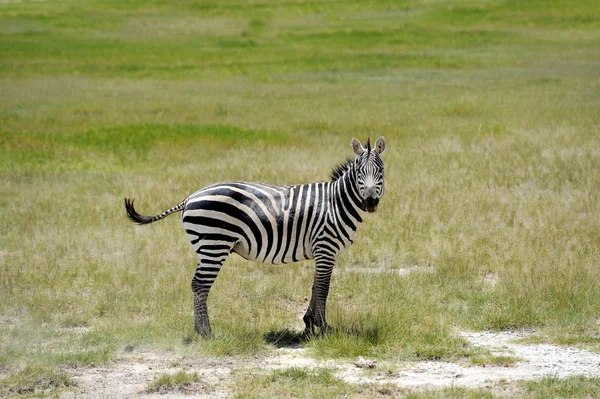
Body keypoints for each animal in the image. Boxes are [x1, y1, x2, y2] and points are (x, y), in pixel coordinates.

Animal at [124, 138, 386, 338]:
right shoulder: (325, 247)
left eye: (380, 172)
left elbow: (314, 286)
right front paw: (323, 327)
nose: (371, 203)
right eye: (359, 173)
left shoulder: (321, 252)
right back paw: (205, 332)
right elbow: (323, 287)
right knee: (199, 285)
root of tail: (189, 197)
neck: (336, 203)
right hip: (213, 244)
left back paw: (202, 330)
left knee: (198, 285)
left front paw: (309, 324)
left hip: (208, 246)